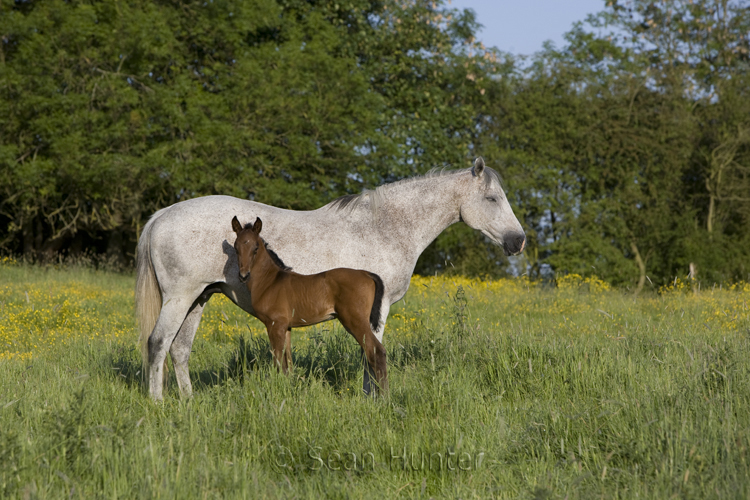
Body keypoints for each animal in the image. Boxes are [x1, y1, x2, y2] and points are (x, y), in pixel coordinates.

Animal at [232, 216, 390, 394]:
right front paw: (288, 388)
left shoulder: (274, 324)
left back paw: (383, 396)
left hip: (355, 321)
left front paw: (277, 389)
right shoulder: (286, 326)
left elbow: (277, 360)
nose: (243, 276)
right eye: (236, 247)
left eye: (255, 247)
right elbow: (287, 362)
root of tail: (367, 274)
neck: (270, 281)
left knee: (376, 352)